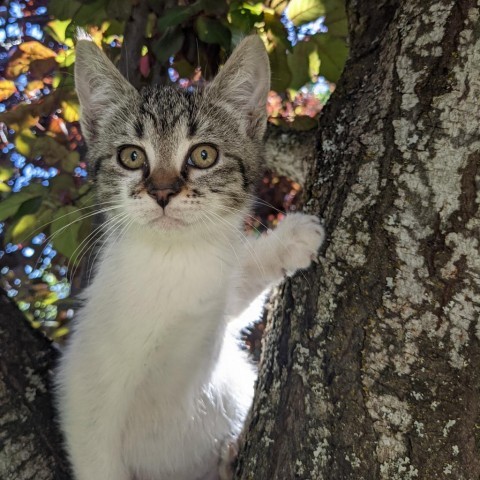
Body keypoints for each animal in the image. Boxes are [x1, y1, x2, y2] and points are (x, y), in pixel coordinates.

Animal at [56, 34, 326, 480]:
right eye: (132, 156)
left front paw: (291, 239)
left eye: (203, 155)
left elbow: (237, 287)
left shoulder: (212, 310)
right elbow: (99, 459)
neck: (172, 262)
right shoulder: (85, 402)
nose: (163, 191)